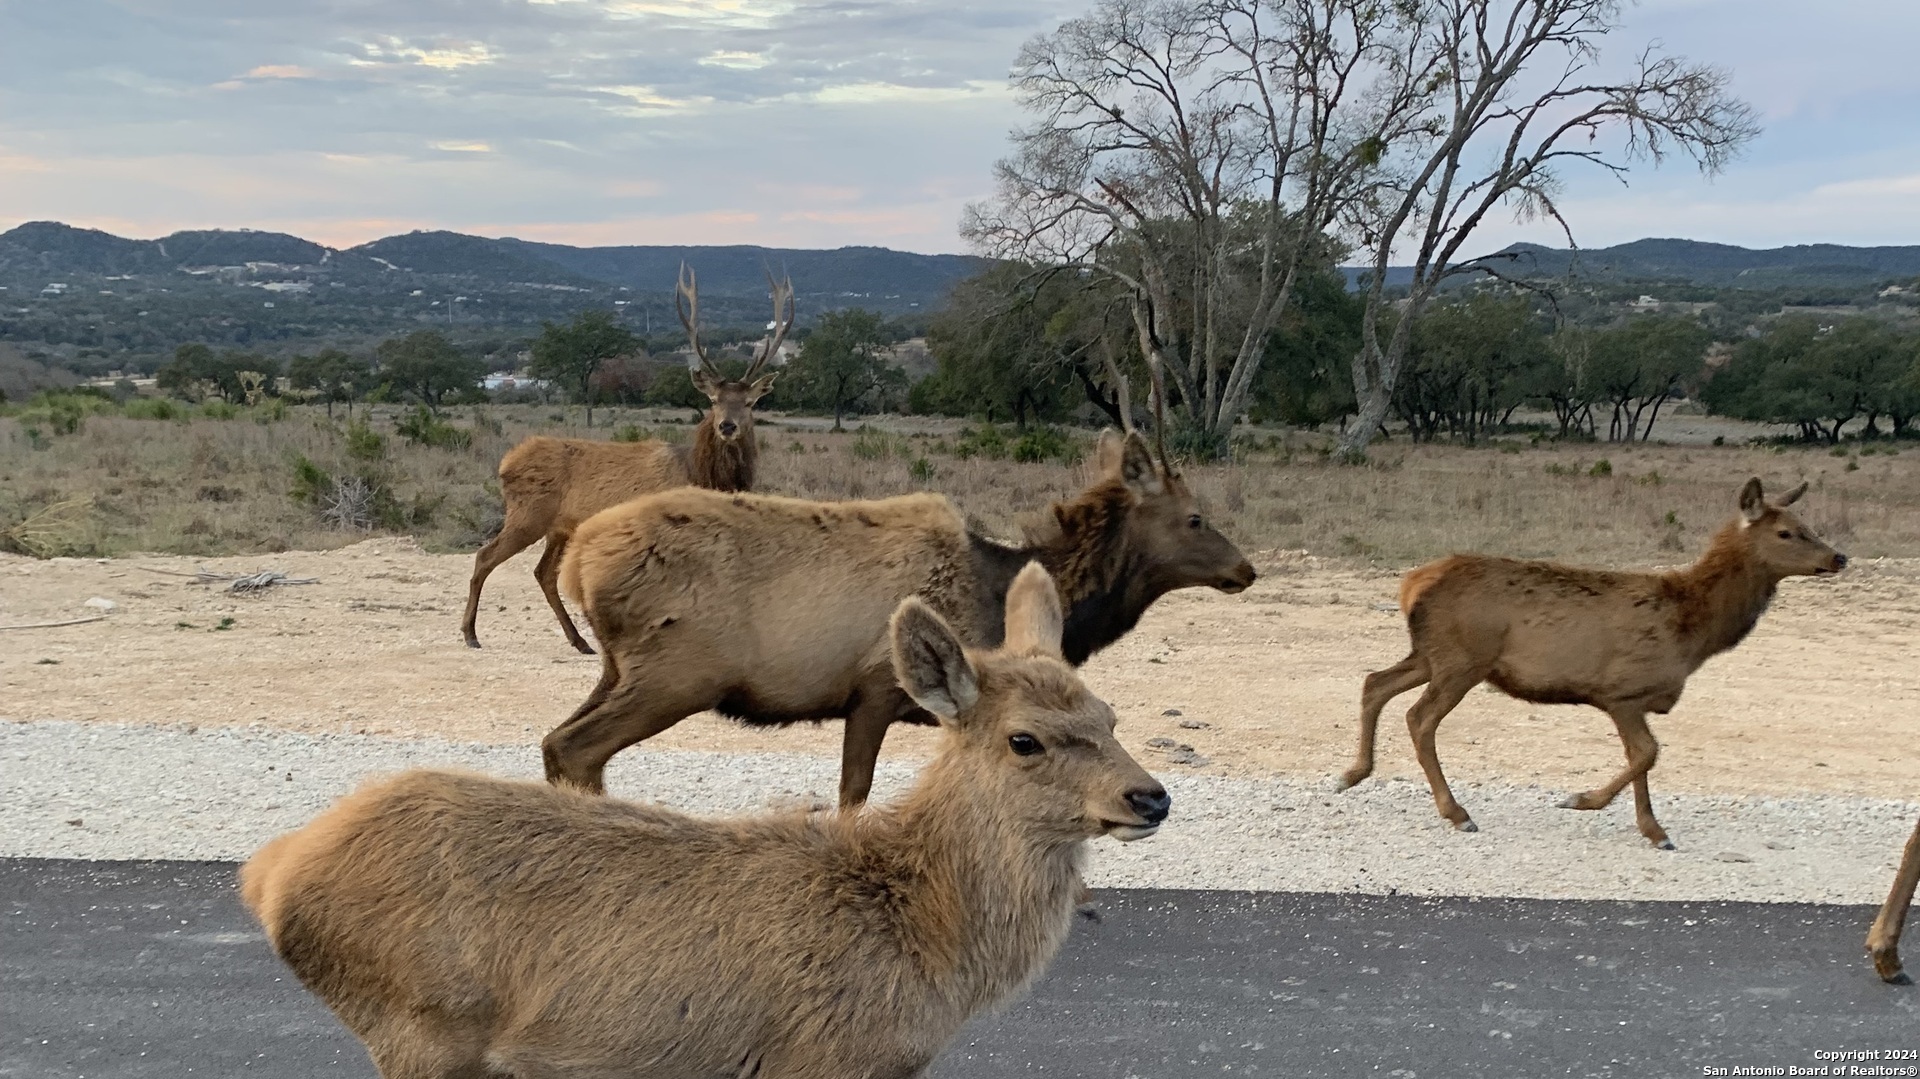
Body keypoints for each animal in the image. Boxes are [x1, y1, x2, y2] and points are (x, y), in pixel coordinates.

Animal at [241, 564, 1170, 1079]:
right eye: (1025, 738)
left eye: (1112, 714)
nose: (1151, 796)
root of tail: (270, 871)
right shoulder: (818, 1059)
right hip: (421, 1028)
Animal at [460, 264, 793, 653]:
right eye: (712, 399)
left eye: (751, 402)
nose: (727, 425)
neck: (700, 473)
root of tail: (506, 463)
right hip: (528, 514)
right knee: (485, 556)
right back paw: (470, 633)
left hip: (559, 526)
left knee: (543, 572)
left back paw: (579, 641)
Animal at [544, 422, 1254, 807]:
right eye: (1196, 518)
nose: (1245, 570)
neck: (995, 593)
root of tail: (579, 560)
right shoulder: (876, 689)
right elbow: (853, 795)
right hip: (678, 672)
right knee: (575, 747)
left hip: (617, 668)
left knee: (557, 742)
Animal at [1338, 477, 1847, 849]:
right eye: (1787, 532)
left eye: (1807, 523)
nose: (1838, 556)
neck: (1694, 632)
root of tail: (1411, 584)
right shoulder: (1622, 690)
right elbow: (1647, 753)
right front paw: (1582, 800)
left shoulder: (1633, 700)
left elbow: (1641, 757)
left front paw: (1654, 831)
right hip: (1461, 658)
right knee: (1419, 717)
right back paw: (1457, 813)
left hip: (1431, 654)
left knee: (1375, 682)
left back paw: (1353, 773)